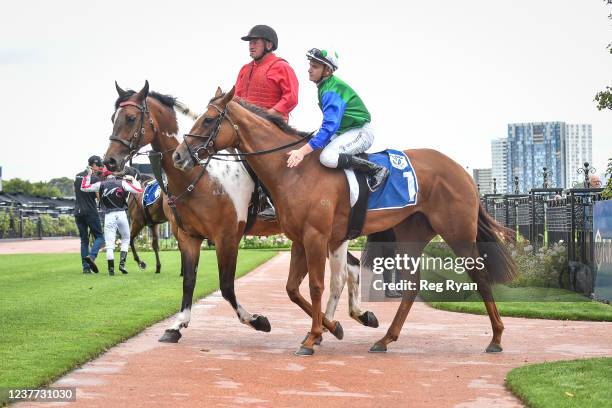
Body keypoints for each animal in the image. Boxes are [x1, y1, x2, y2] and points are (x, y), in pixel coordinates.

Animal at [104, 81, 378, 342]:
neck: (202, 176)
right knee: (351, 266)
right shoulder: (188, 237)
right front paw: (177, 325)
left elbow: (226, 286)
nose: (110, 161)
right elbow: (189, 281)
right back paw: (357, 315)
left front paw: (257, 320)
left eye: (131, 118)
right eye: (113, 117)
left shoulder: (227, 238)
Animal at [175, 87, 520, 356]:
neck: (293, 169)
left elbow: (315, 285)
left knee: (480, 276)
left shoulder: (314, 236)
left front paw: (313, 337)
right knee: (411, 285)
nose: (179, 155)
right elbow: (293, 288)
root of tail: (461, 170)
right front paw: (331, 327)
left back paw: (497, 337)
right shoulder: (300, 239)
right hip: (411, 233)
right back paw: (385, 339)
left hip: (457, 232)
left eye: (208, 119)